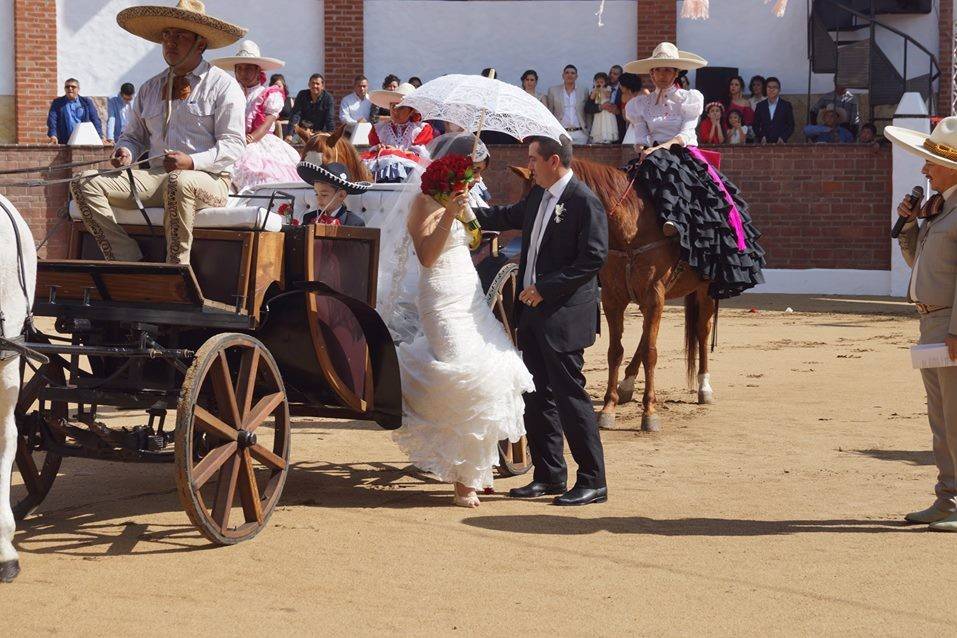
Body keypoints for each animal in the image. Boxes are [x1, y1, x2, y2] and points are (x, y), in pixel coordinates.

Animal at [512, 158, 712, 432]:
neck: (630, 231)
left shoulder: (654, 295)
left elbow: (651, 352)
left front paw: (649, 412)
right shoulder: (613, 298)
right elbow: (615, 350)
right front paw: (609, 407)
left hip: (706, 288)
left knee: (702, 331)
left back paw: (704, 386)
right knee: (645, 337)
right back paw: (627, 385)